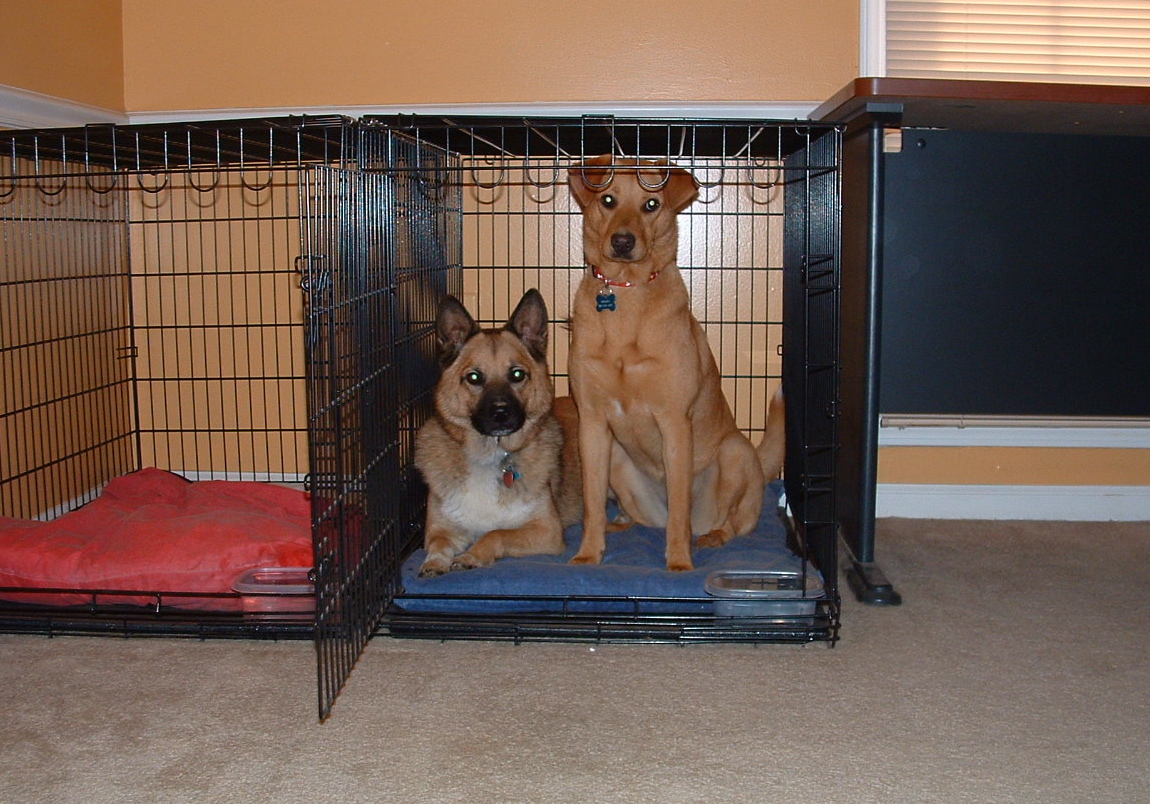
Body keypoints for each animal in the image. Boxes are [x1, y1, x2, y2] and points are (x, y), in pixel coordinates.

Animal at [414, 289, 579, 579]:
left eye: (517, 374)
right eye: (474, 378)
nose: (501, 414)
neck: (490, 455)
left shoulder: (547, 531)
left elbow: (495, 533)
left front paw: (471, 556)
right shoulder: (440, 529)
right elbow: (439, 544)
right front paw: (434, 563)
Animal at [563, 155, 782, 572]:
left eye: (651, 205)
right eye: (608, 200)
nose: (623, 241)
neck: (626, 293)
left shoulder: (675, 422)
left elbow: (680, 508)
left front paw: (679, 563)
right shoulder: (592, 422)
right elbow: (591, 505)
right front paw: (587, 553)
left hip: (735, 452)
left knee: (730, 523)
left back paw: (710, 537)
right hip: (618, 459)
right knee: (637, 516)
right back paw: (620, 524)